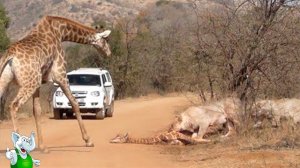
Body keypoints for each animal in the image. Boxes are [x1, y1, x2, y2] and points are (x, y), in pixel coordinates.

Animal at [0, 16, 112, 151]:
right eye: (106, 40)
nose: (109, 53)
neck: (61, 32)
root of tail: (9, 55)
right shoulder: (60, 74)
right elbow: (74, 102)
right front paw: (88, 140)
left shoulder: (39, 83)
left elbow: (36, 110)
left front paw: (43, 146)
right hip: (29, 82)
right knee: (14, 105)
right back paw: (18, 146)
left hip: (9, 81)